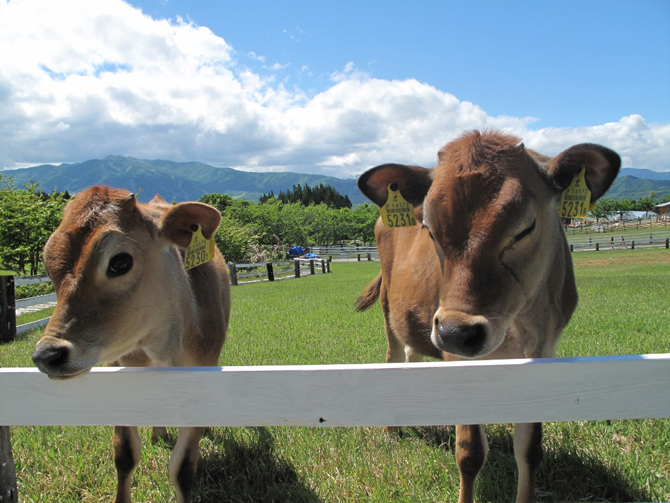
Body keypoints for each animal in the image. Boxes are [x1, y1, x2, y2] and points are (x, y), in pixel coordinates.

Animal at [360, 131, 624, 503]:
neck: (515, 329)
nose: (456, 332)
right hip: (390, 311)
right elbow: (470, 453)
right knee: (394, 356)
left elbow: (529, 449)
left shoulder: (543, 354)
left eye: (525, 228)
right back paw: (392, 430)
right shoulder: (457, 356)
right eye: (429, 229)